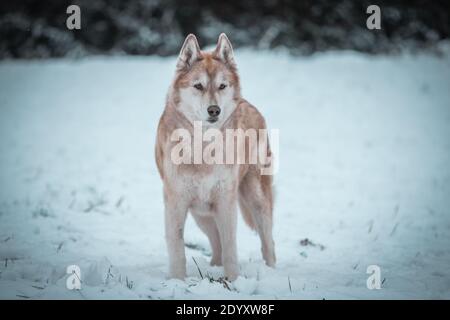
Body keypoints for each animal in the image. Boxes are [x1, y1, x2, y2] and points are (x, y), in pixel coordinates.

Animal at [156, 33, 274, 280]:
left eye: (222, 86)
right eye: (198, 86)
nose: (214, 110)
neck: (203, 145)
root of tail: (249, 104)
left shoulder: (225, 202)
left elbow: (230, 247)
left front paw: (233, 281)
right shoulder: (176, 203)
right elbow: (177, 248)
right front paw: (178, 281)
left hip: (255, 199)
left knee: (268, 243)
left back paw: (271, 271)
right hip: (200, 213)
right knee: (215, 242)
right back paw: (214, 268)